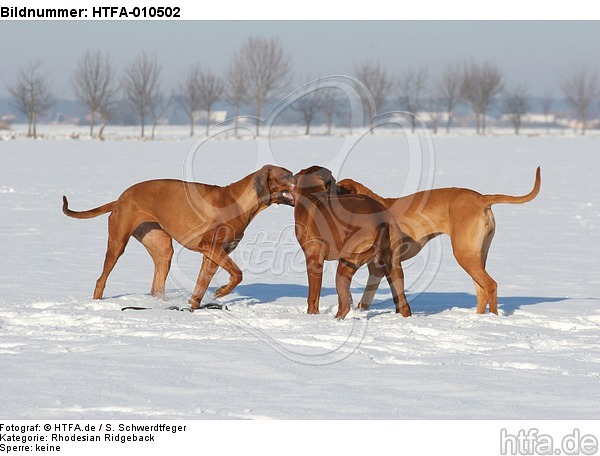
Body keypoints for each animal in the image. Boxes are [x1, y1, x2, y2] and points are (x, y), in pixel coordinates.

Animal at [63, 162, 296, 308]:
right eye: (287, 175)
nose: (303, 179)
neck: (238, 203)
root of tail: (120, 198)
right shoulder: (212, 248)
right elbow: (238, 274)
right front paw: (221, 292)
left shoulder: (212, 254)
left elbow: (202, 284)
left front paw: (194, 306)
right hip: (117, 243)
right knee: (100, 279)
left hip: (163, 249)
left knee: (157, 286)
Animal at [292, 166, 412, 318]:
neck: (311, 194)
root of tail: (380, 221)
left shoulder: (313, 259)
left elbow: (313, 297)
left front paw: (311, 316)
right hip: (394, 267)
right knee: (404, 306)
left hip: (345, 264)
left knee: (344, 307)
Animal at [338, 167, 544, 314]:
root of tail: (481, 198)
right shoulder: (377, 269)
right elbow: (368, 300)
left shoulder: (385, 266)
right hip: (477, 256)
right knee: (481, 290)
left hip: (464, 254)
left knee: (490, 286)